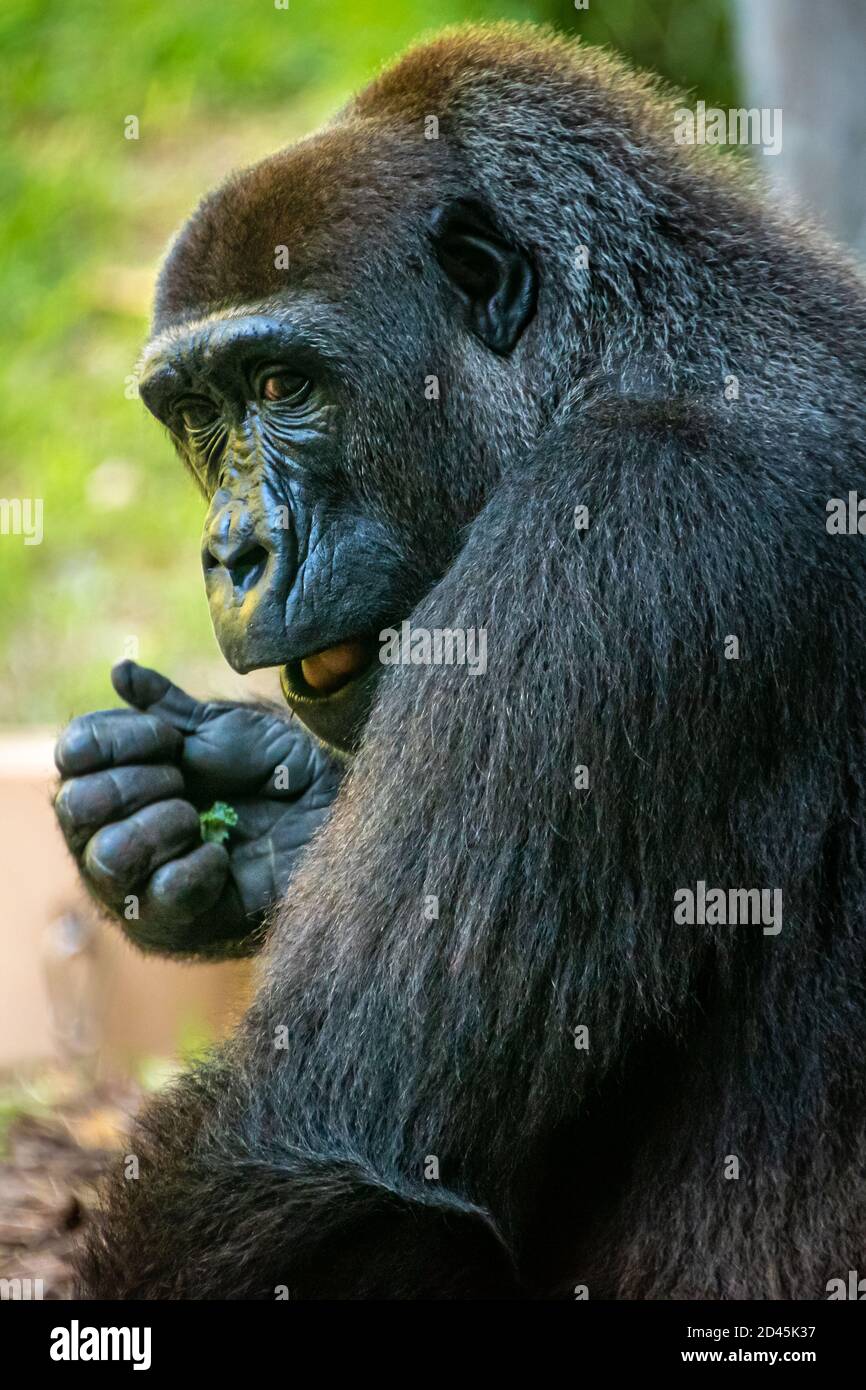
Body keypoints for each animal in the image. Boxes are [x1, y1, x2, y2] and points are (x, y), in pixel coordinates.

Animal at [52, 24, 866, 1301]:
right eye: (196, 413)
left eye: (282, 386)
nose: (230, 554)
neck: (619, 349)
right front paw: (246, 808)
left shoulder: (625, 531)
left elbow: (317, 1134)